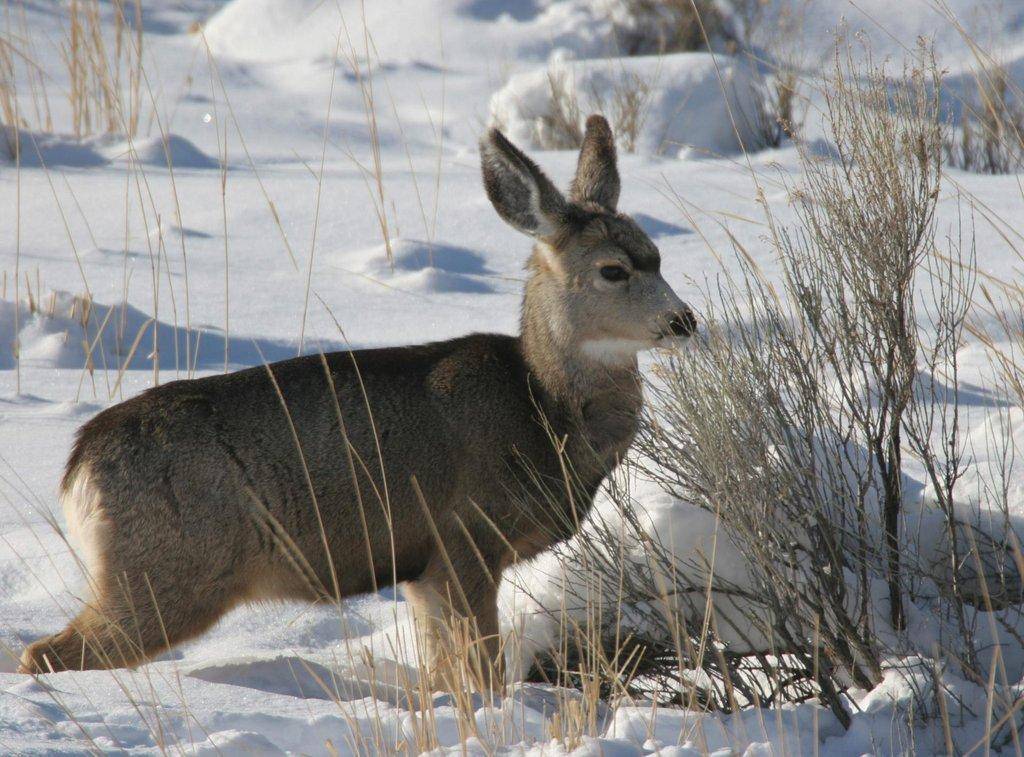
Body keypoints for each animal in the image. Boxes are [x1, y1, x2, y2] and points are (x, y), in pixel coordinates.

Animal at [19, 115, 696, 688]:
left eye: (659, 256)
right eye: (614, 270)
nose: (683, 320)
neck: (543, 408)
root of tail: (77, 468)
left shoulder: (420, 571)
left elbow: (445, 675)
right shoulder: (465, 539)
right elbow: (481, 673)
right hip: (167, 571)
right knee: (47, 654)